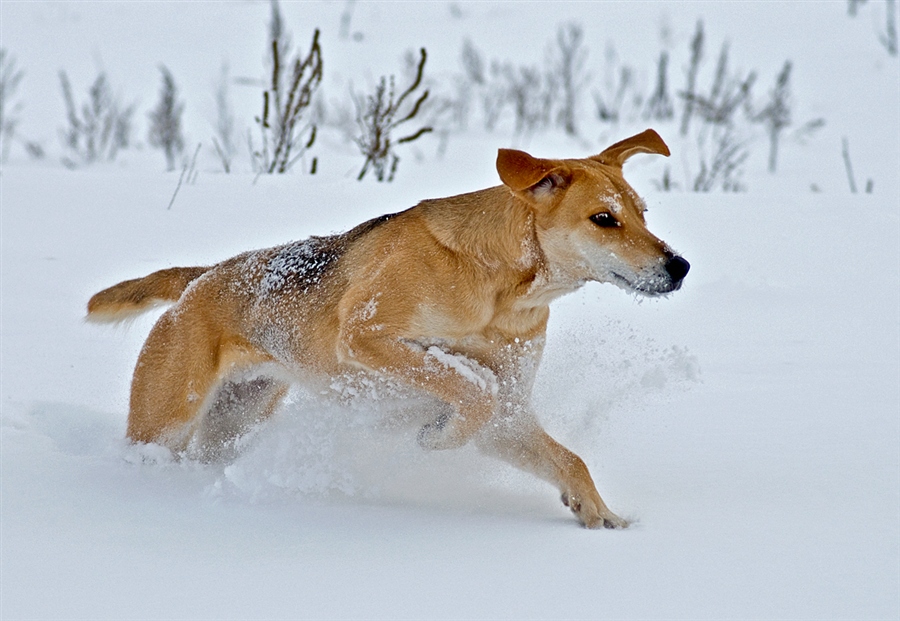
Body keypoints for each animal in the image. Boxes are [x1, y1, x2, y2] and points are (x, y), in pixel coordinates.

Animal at [88, 131, 688, 528]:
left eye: (643, 212)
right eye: (604, 219)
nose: (678, 265)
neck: (501, 291)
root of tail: (200, 277)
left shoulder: (511, 413)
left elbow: (567, 458)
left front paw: (601, 516)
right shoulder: (367, 336)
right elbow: (469, 386)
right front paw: (436, 435)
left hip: (236, 416)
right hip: (167, 417)